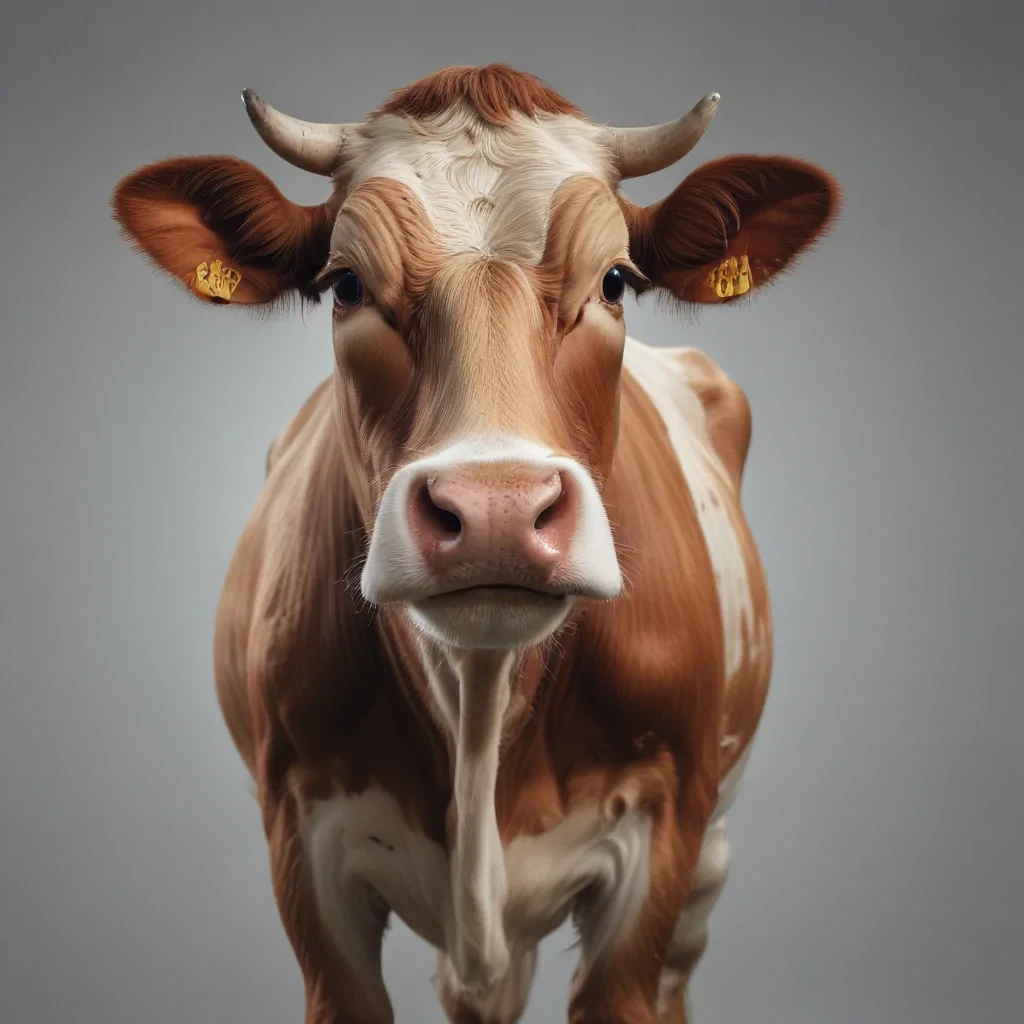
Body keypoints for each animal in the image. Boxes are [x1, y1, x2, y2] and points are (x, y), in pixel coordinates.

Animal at [111, 64, 841, 1024]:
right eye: (345, 284)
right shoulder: (305, 854)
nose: (496, 509)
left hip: (708, 864)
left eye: (615, 281)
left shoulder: (659, 847)